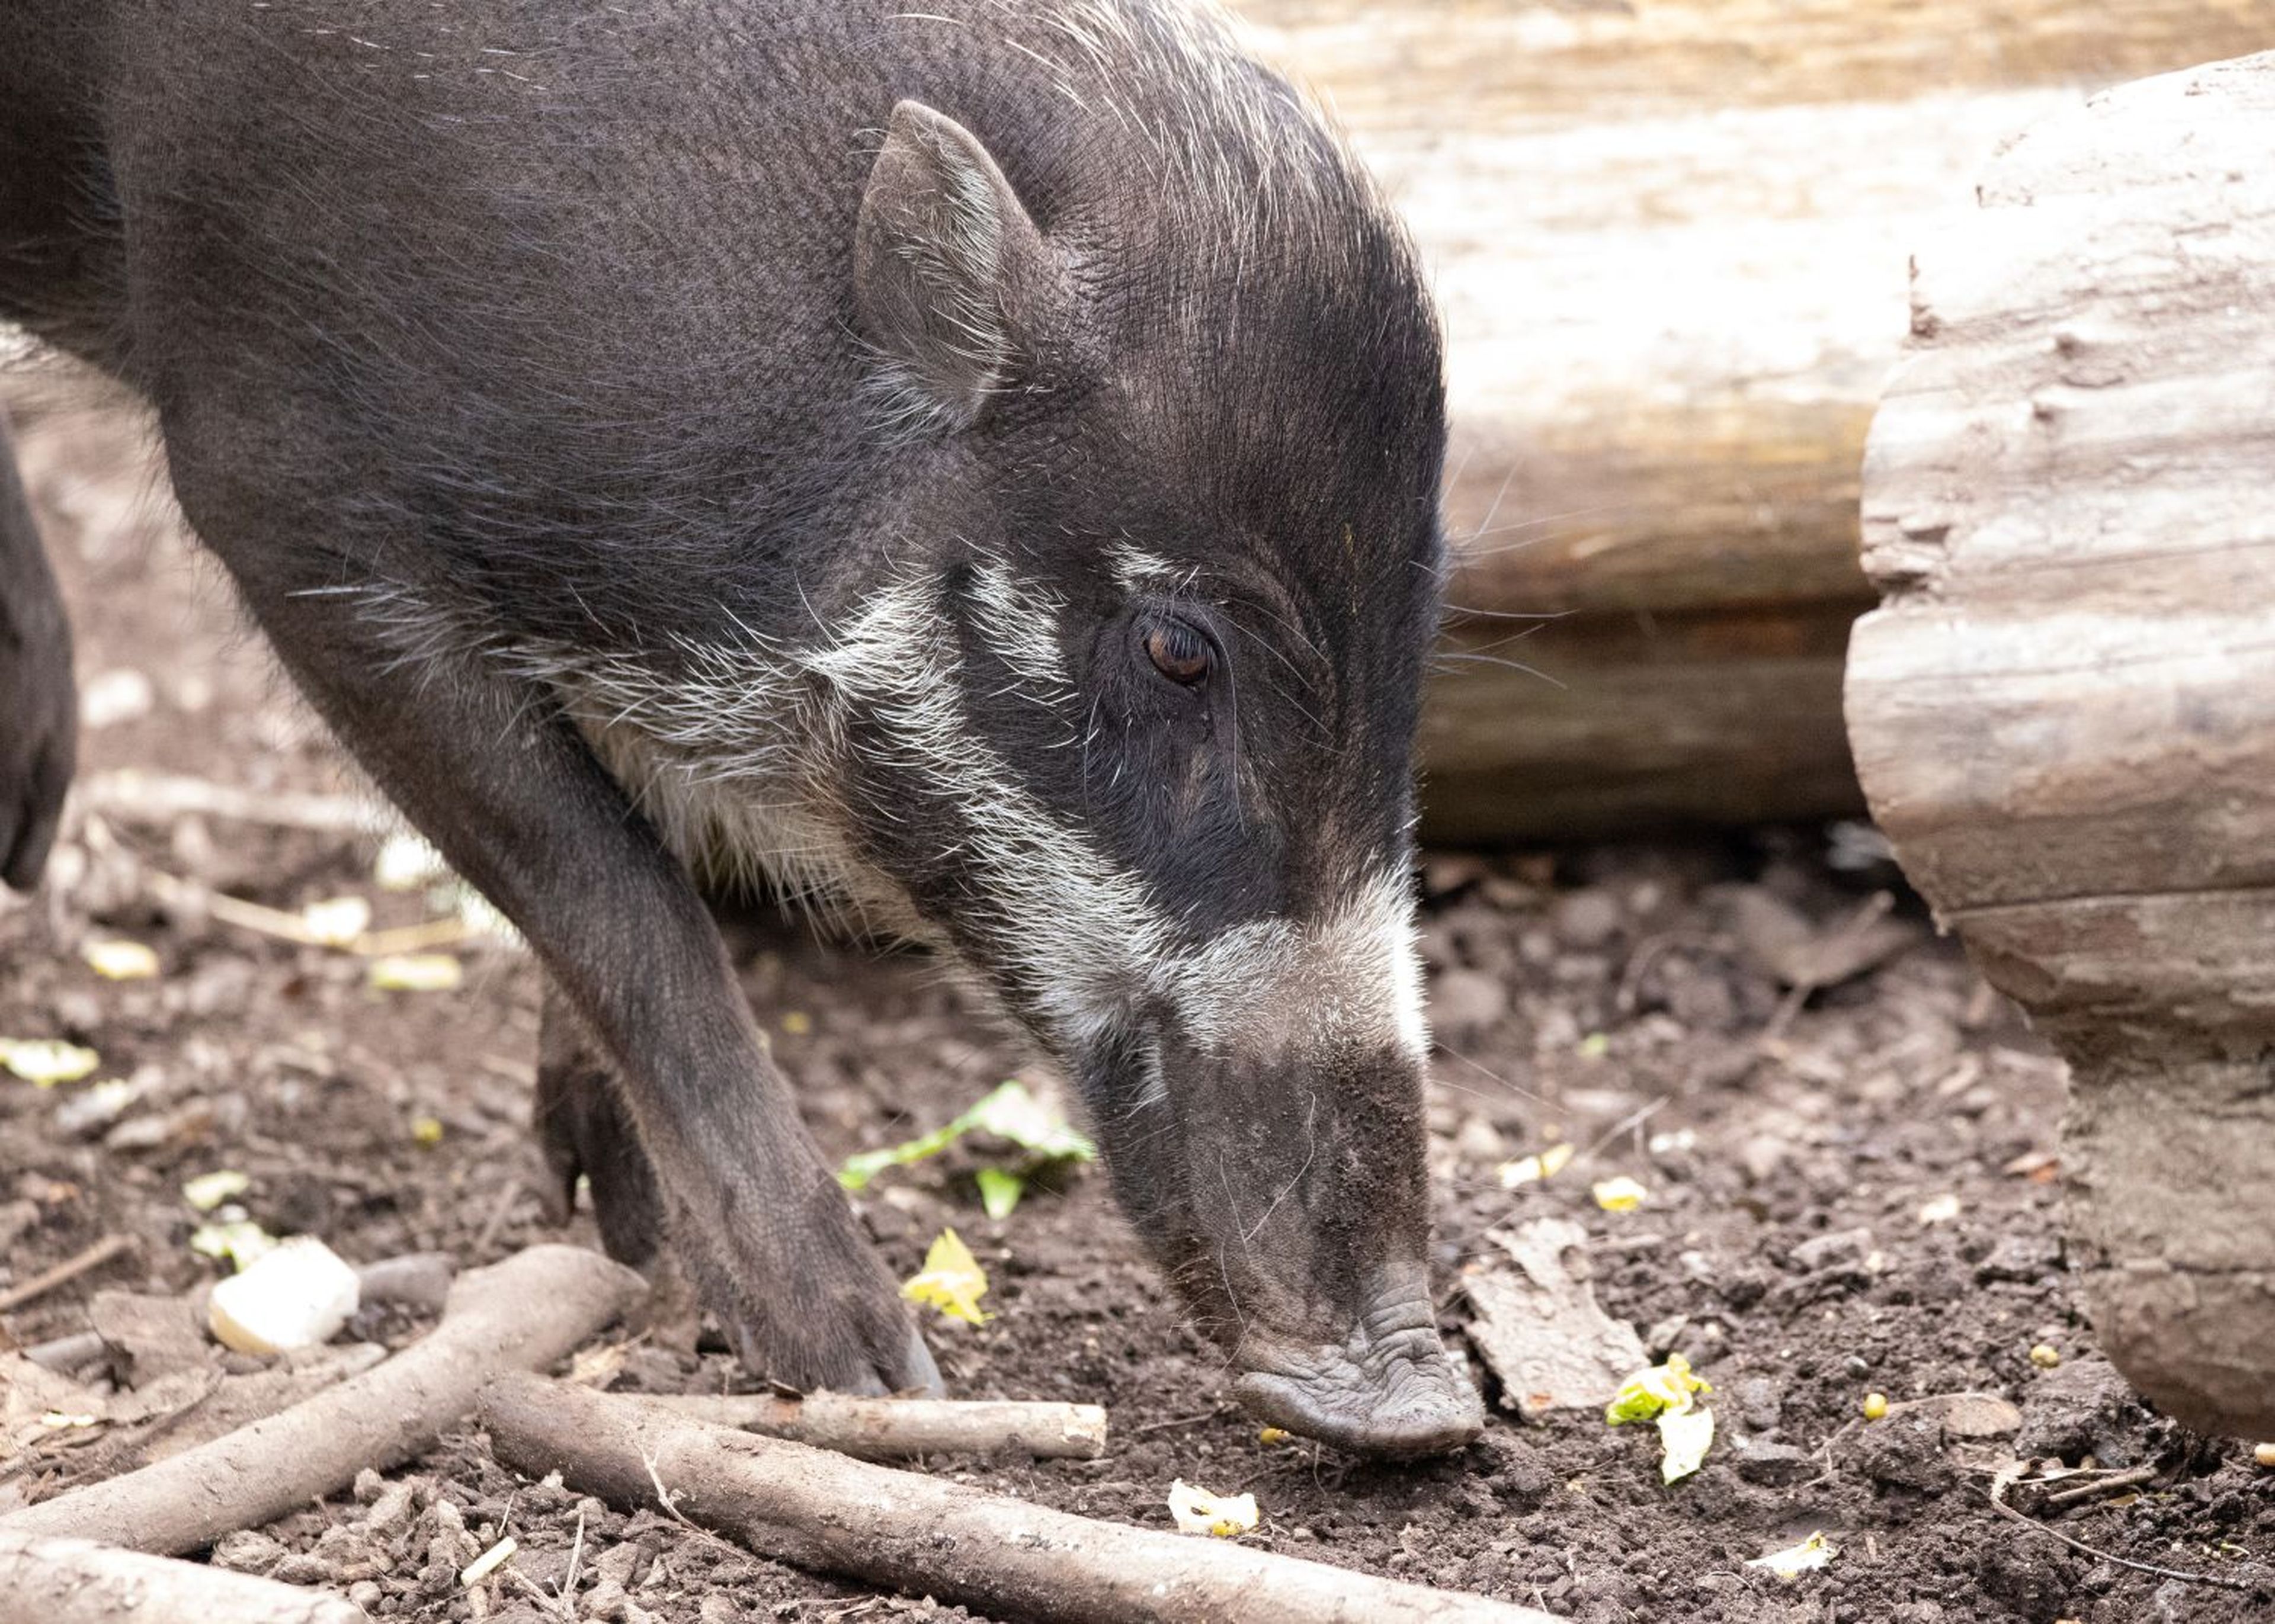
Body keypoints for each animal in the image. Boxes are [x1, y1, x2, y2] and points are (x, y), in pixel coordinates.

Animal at [0, 0, 1482, 1455]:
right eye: (1180, 648)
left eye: (1422, 631)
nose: (1424, 1410)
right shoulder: (280, 496)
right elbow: (624, 903)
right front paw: (877, 1374)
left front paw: (619, 1225)